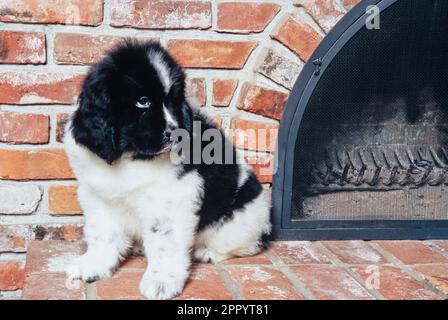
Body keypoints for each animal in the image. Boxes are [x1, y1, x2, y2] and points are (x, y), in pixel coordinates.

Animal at [65, 40, 272, 300]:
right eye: (143, 101)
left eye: (173, 101)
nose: (175, 133)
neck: (131, 155)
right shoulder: (98, 195)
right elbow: (103, 234)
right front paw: (93, 265)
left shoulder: (171, 200)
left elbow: (164, 243)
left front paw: (161, 281)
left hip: (239, 223)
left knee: (245, 246)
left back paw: (206, 252)